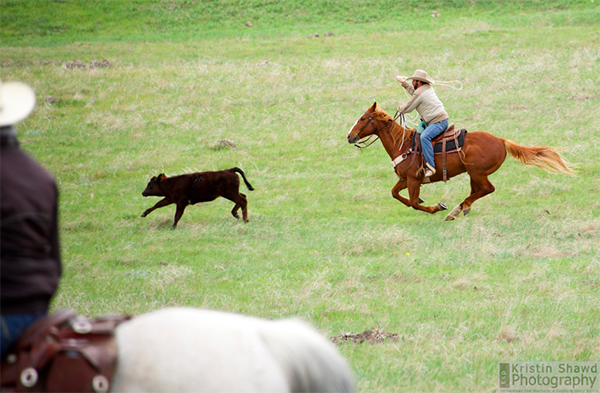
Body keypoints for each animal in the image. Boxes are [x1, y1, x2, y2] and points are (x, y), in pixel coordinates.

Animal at [350, 102, 576, 220]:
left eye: (363, 119)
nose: (349, 136)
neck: (403, 145)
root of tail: (501, 141)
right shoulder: (405, 179)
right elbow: (395, 194)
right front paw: (426, 202)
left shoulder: (414, 180)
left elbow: (413, 203)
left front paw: (436, 207)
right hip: (473, 174)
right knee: (478, 191)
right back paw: (462, 208)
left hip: (477, 172)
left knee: (487, 189)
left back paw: (455, 210)